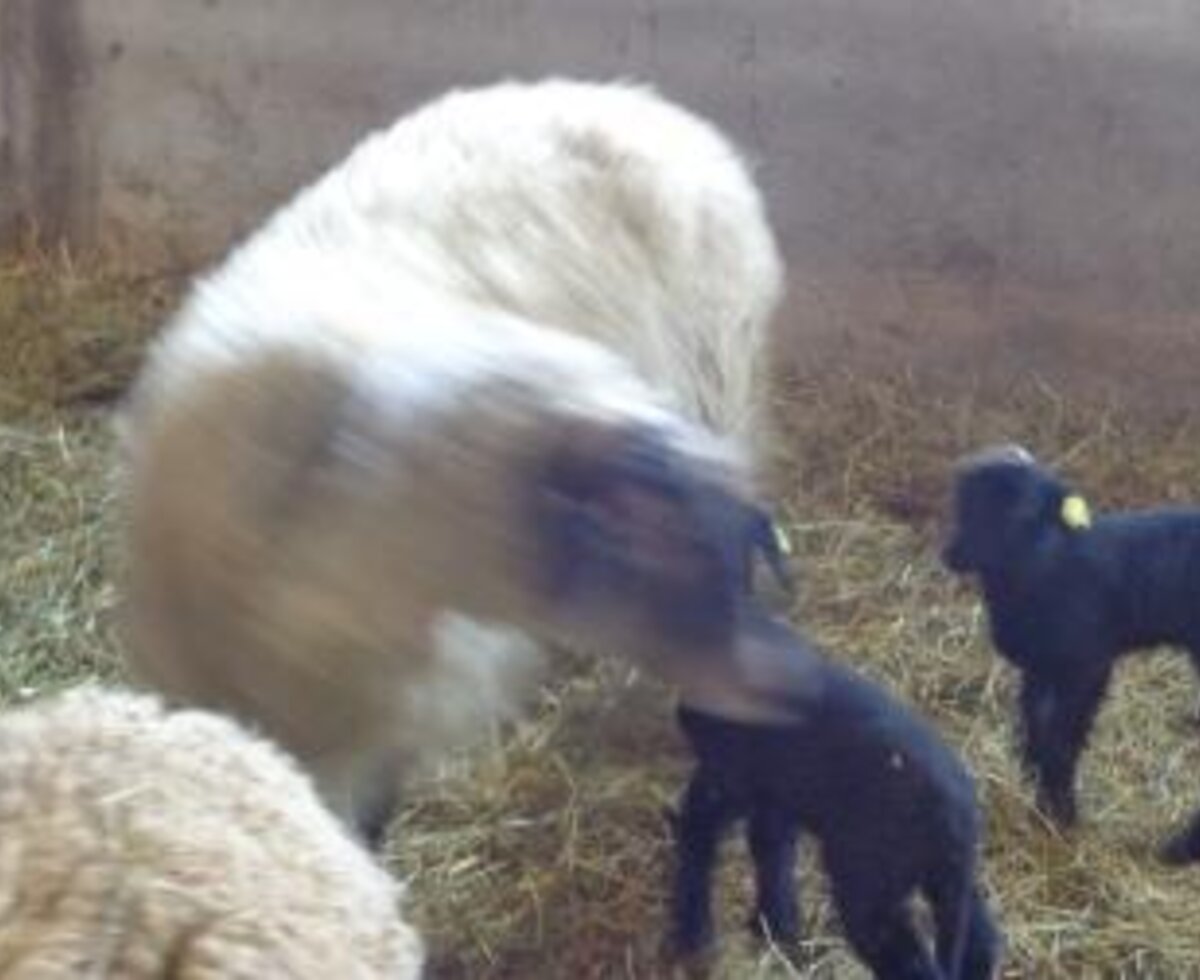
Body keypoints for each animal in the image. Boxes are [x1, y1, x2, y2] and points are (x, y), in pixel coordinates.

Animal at [667, 606, 1001, 979]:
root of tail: (953, 814)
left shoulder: (733, 774)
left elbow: (702, 831)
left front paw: (695, 932)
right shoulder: (778, 786)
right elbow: (771, 845)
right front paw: (775, 923)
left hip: (872, 877)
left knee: (907, 959)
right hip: (951, 880)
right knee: (981, 938)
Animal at [942, 444, 1200, 831]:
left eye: (1027, 516)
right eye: (965, 506)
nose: (953, 554)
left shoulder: (1086, 664)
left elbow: (1063, 740)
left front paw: (1061, 813)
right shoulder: (1039, 666)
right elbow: (1036, 731)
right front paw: (1039, 798)